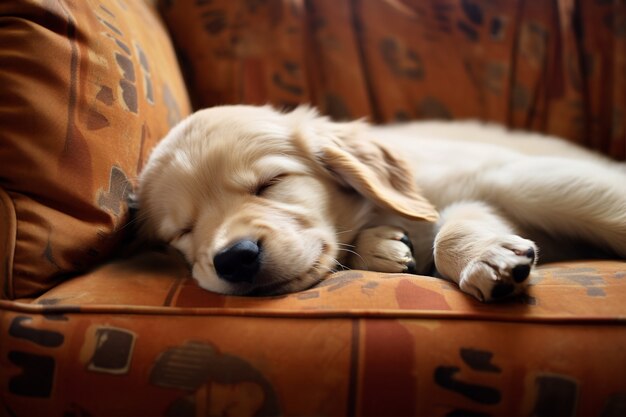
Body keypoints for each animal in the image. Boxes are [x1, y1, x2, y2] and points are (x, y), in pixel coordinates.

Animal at [136, 104, 624, 300]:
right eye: (183, 232)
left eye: (270, 183)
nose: (235, 258)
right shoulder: (477, 196)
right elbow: (456, 226)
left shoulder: (509, 176)